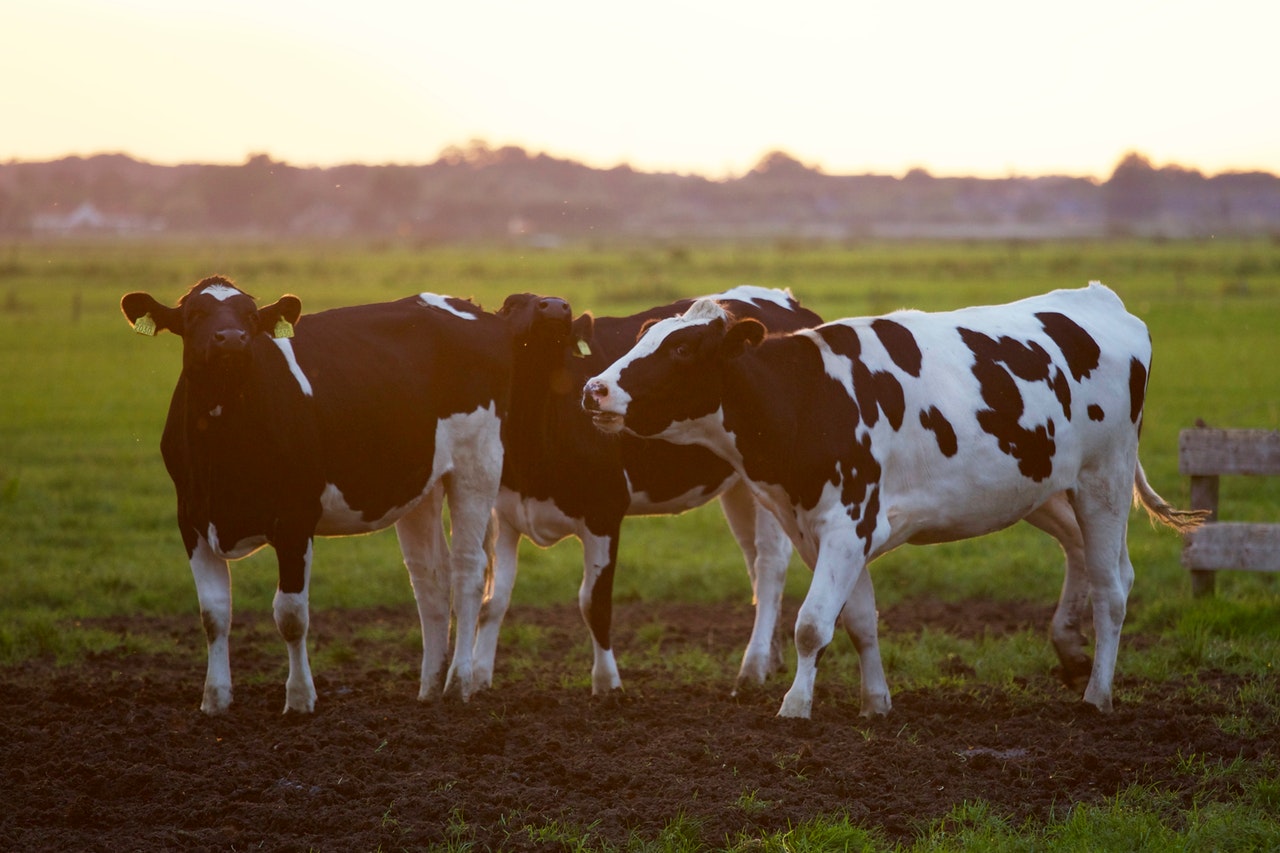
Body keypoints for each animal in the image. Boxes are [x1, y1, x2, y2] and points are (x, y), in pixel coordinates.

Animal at [121, 276, 512, 714]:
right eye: (195, 315)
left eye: (251, 316)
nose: (232, 339)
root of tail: (469, 306)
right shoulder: (191, 520)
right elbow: (213, 614)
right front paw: (215, 699)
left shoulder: (295, 519)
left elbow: (291, 615)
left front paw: (299, 699)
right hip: (421, 484)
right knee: (430, 578)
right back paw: (428, 687)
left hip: (477, 464)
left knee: (468, 571)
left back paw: (458, 682)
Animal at [472, 286, 822, 695]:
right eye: (512, 304)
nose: (556, 306)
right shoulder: (505, 513)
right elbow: (493, 600)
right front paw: (477, 679)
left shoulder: (604, 511)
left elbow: (594, 603)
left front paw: (607, 685)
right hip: (741, 485)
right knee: (753, 561)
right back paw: (771, 658)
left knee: (769, 566)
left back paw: (752, 668)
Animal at [583, 282, 1208, 718]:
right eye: (643, 338)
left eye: (683, 349)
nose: (594, 389)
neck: (809, 397)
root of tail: (1100, 299)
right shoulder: (822, 530)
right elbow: (858, 620)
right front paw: (875, 702)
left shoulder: (847, 522)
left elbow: (811, 624)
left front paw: (795, 706)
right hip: (1045, 488)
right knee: (1089, 558)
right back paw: (1072, 651)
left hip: (1104, 480)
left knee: (1112, 588)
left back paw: (1098, 695)